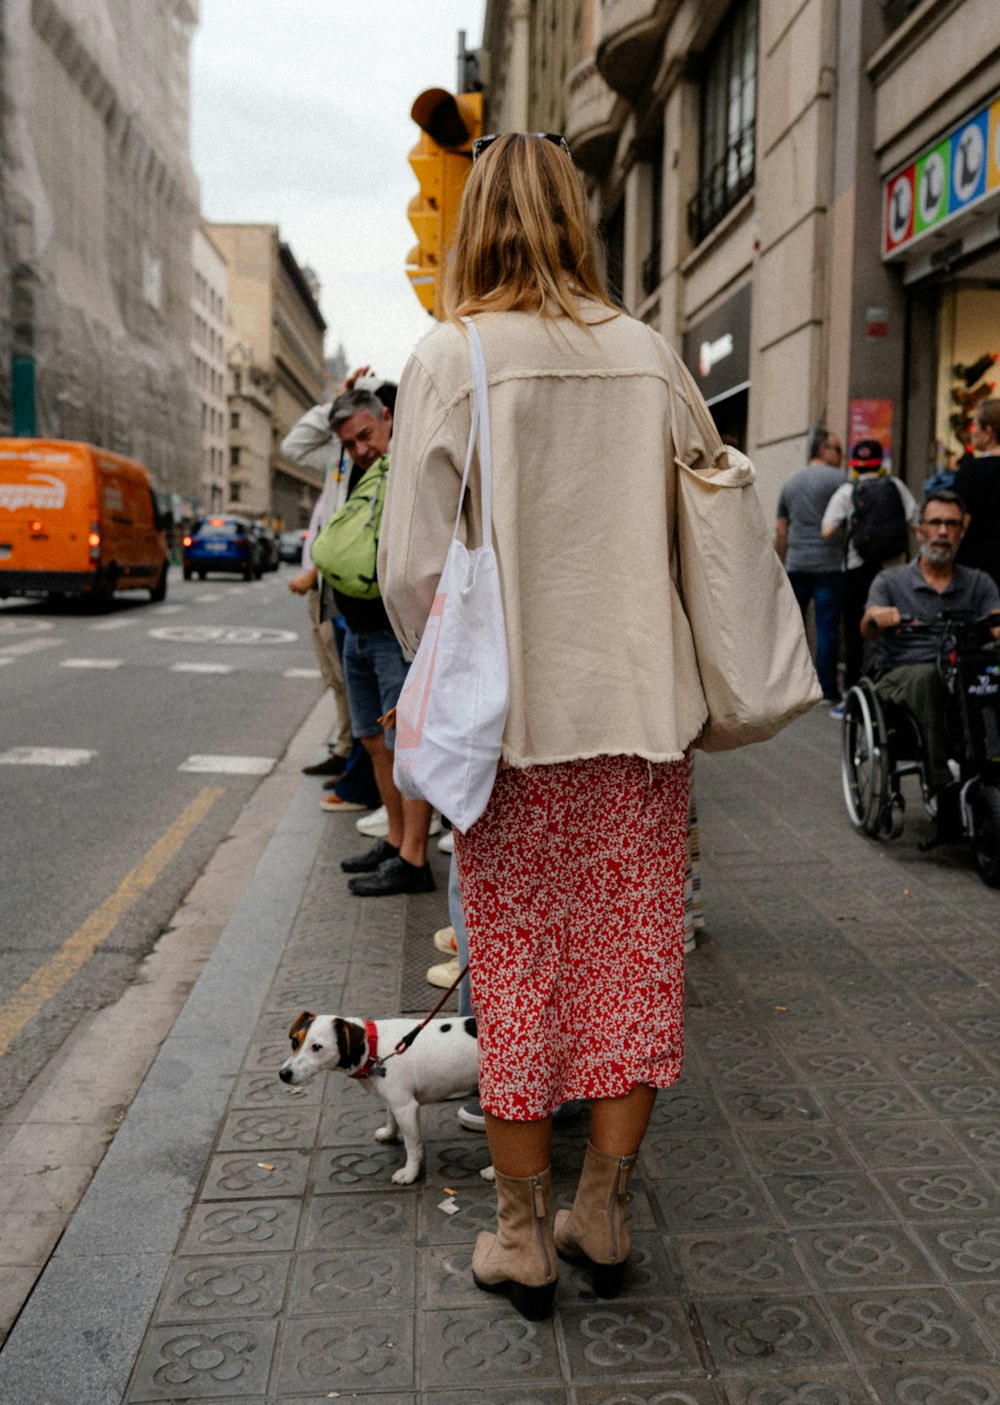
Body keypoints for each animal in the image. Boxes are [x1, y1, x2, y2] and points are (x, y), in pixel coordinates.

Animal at [279, 1011, 483, 1185]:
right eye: (294, 1042)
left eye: (317, 1047)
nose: (283, 1074)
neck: (373, 1048)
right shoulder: (394, 1102)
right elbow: (390, 1117)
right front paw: (389, 1133)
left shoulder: (406, 1107)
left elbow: (412, 1145)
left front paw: (410, 1173)